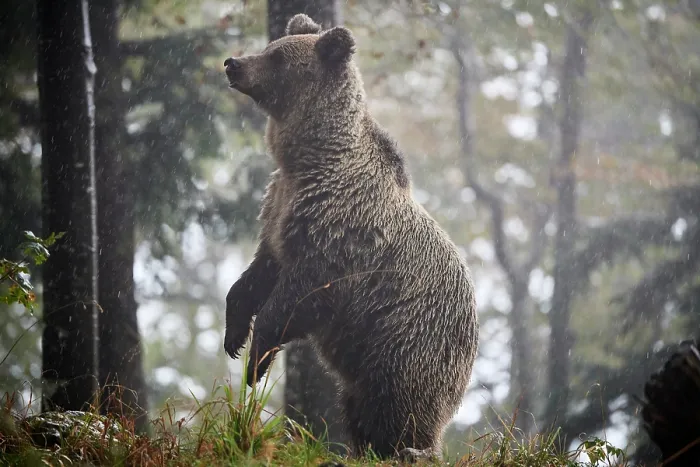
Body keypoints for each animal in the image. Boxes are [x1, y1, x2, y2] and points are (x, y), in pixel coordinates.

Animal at [222, 13, 479, 461]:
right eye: (270, 46)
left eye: (277, 57)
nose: (233, 63)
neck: (307, 161)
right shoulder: (279, 212)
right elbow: (257, 273)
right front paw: (234, 336)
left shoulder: (339, 230)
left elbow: (301, 296)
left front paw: (257, 363)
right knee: (359, 406)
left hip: (406, 342)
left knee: (396, 404)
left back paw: (408, 450)